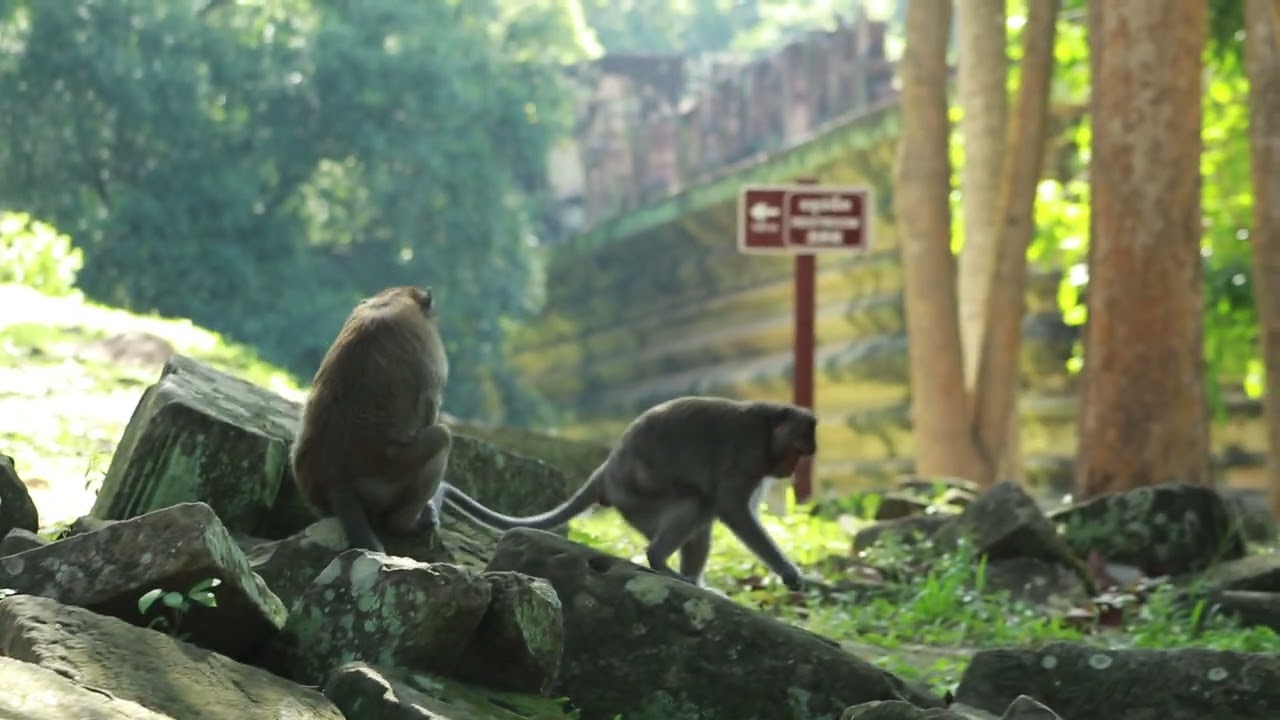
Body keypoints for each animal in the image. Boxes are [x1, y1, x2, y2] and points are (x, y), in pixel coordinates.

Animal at [290, 285, 452, 554]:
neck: (394, 298)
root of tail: (336, 481)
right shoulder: (431, 347)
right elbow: (430, 405)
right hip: (389, 477)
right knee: (442, 437)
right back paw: (406, 524)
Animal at [437, 396, 817, 591]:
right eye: (799, 447)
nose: (794, 469)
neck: (768, 430)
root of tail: (607, 470)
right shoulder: (748, 456)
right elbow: (732, 509)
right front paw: (790, 573)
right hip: (636, 497)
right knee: (696, 503)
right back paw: (659, 561)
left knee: (702, 512)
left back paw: (690, 579)